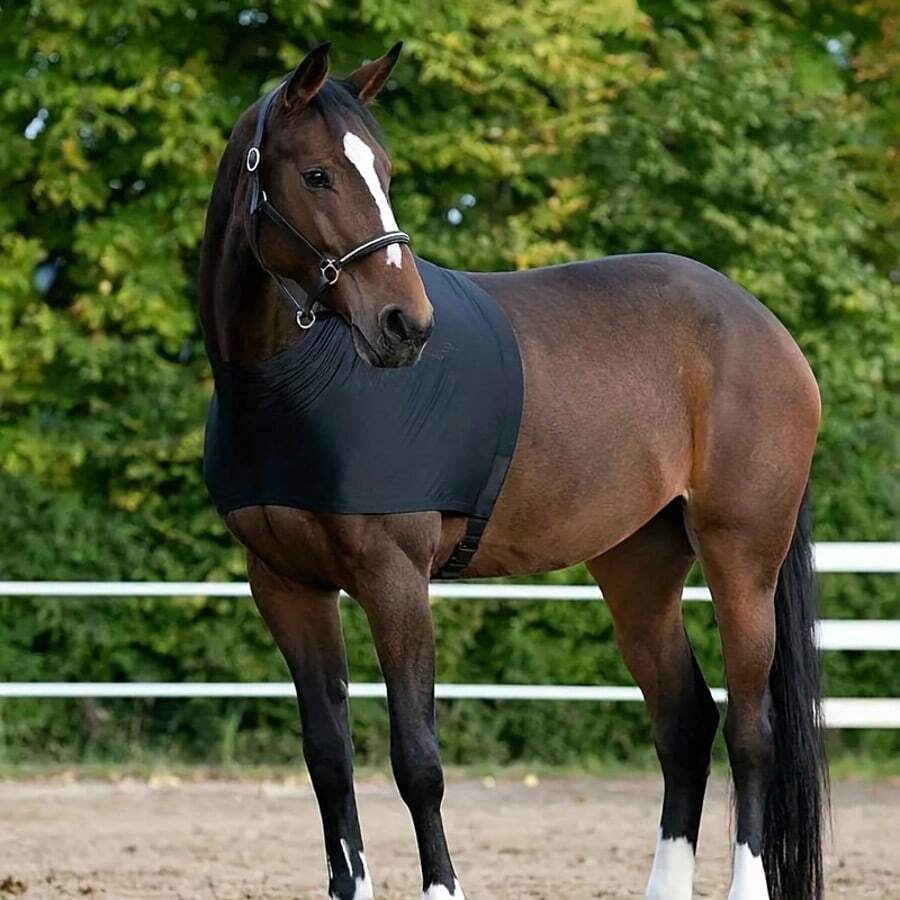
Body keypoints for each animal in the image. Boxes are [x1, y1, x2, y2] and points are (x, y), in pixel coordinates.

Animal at [198, 41, 827, 900]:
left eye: (383, 171)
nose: (404, 325)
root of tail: (763, 327)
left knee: (750, 731)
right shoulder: (286, 587)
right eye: (319, 174)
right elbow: (328, 759)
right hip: (638, 565)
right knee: (685, 722)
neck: (296, 385)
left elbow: (417, 762)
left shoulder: (395, 583)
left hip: (742, 559)